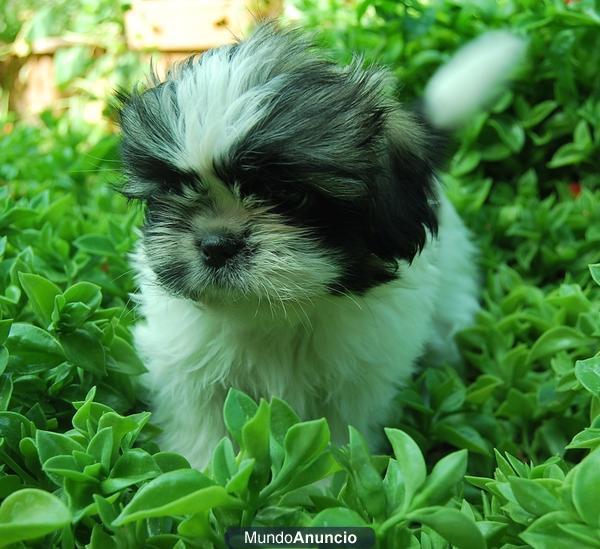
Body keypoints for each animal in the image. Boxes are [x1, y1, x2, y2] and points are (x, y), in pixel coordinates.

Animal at [117, 23, 524, 464]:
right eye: (174, 190)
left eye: (288, 195)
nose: (216, 244)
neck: (272, 314)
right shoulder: (188, 368)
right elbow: (201, 429)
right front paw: (202, 471)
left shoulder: (353, 383)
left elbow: (336, 437)